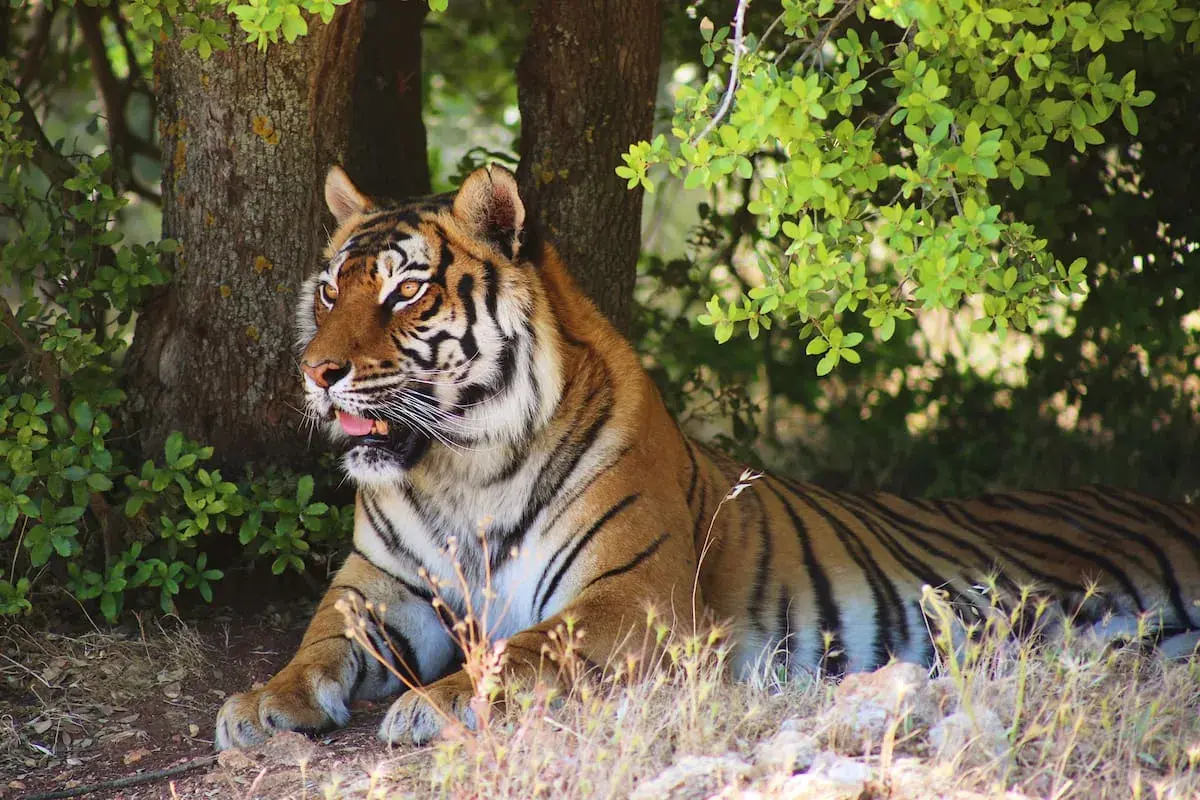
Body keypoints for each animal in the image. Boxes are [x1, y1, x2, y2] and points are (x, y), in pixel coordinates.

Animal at [214, 164, 1200, 750]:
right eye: (330, 290)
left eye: (406, 293)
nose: (316, 372)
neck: (462, 472)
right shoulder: (380, 586)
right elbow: (320, 639)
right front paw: (262, 703)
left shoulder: (631, 597)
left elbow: (526, 648)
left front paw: (433, 702)